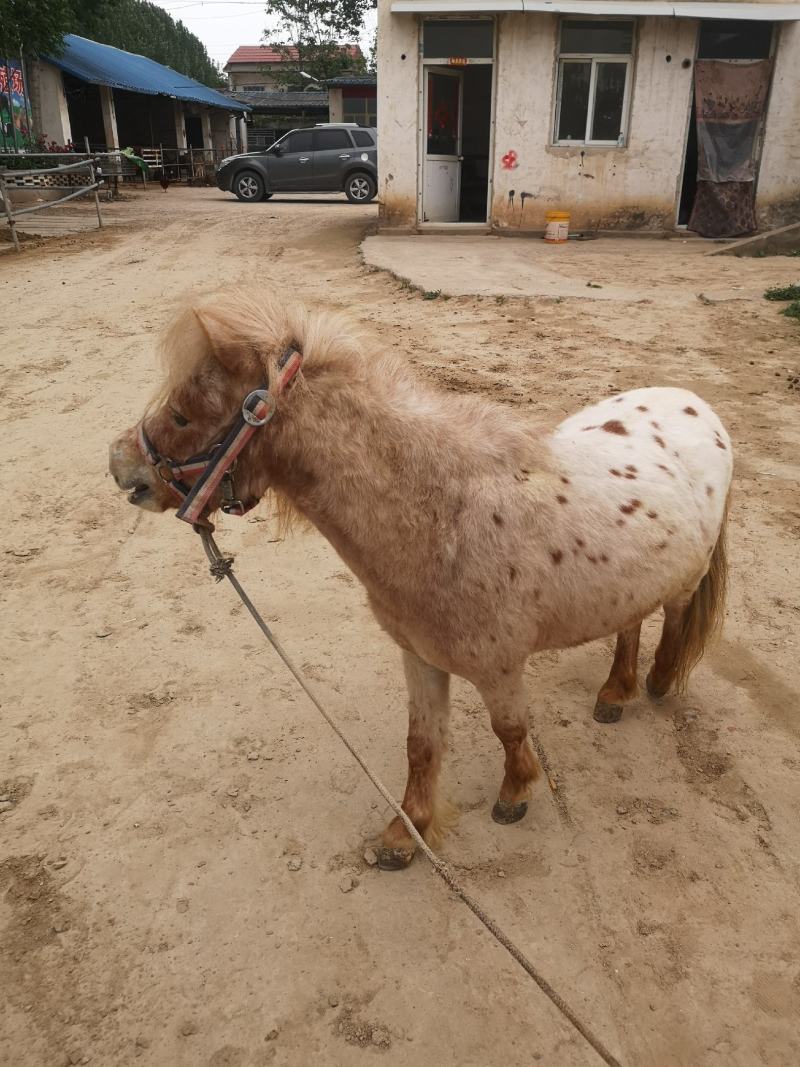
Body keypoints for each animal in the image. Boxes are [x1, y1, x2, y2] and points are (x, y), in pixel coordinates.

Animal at [109, 290, 732, 870]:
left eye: (183, 415)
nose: (122, 469)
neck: (441, 516)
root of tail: (698, 404)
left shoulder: (499, 667)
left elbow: (510, 729)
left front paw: (513, 796)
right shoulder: (420, 656)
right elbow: (421, 745)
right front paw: (406, 834)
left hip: (684, 580)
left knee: (672, 620)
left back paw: (655, 683)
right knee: (631, 622)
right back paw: (614, 693)